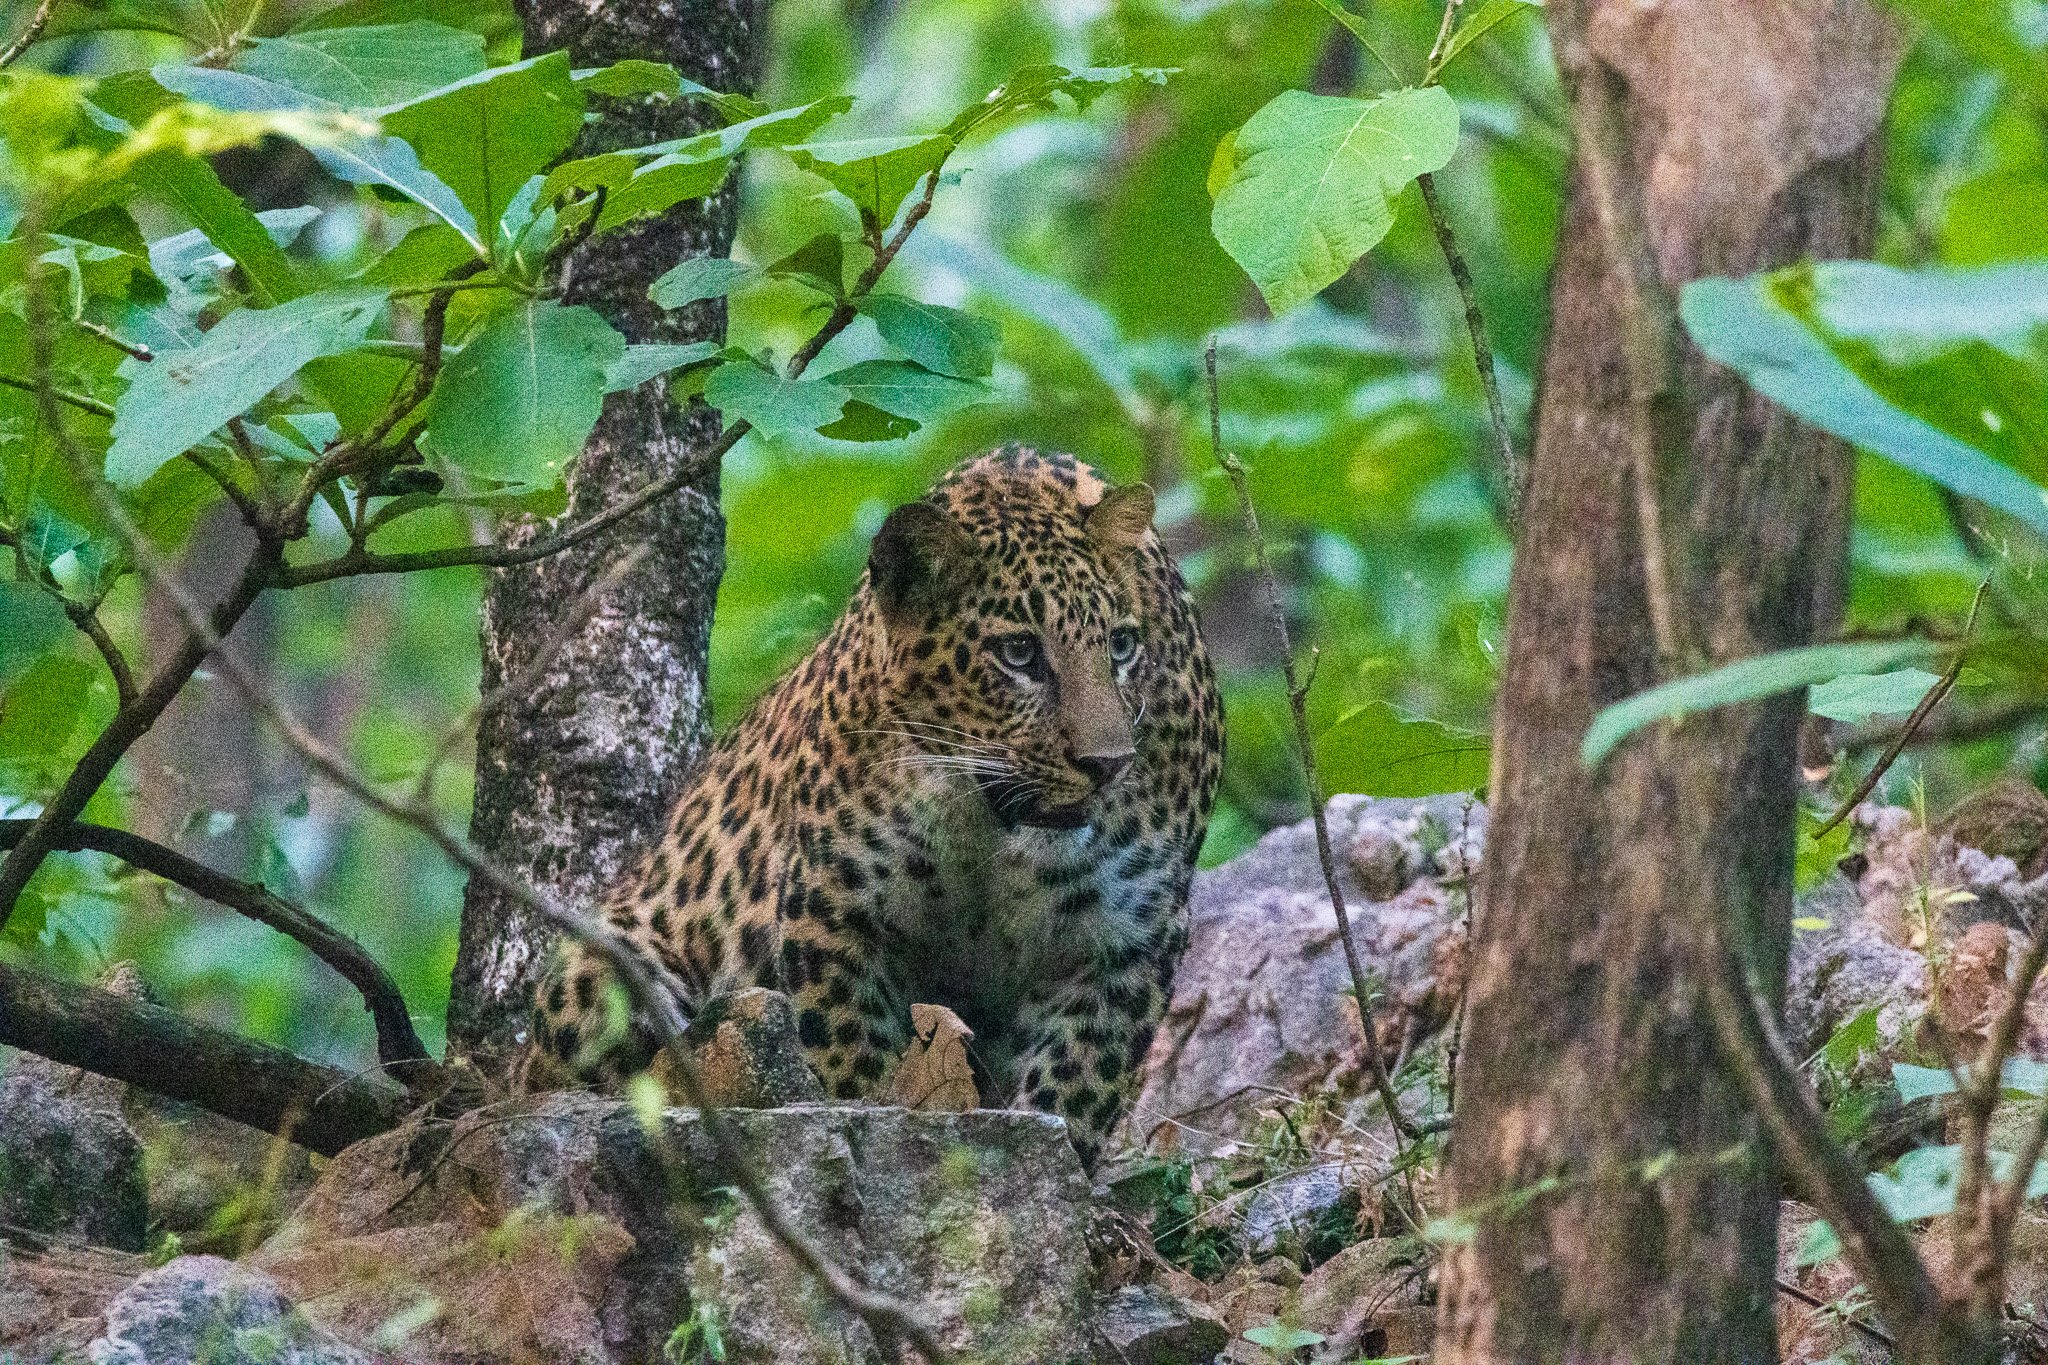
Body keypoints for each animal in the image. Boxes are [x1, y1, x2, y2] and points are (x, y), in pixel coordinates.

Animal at [536, 444, 1220, 1170]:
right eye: (1019, 652)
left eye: (1121, 645)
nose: (1108, 764)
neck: (993, 835)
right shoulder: (834, 913)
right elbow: (856, 1066)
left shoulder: (1130, 942)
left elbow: (1074, 1088)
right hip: (600, 969)